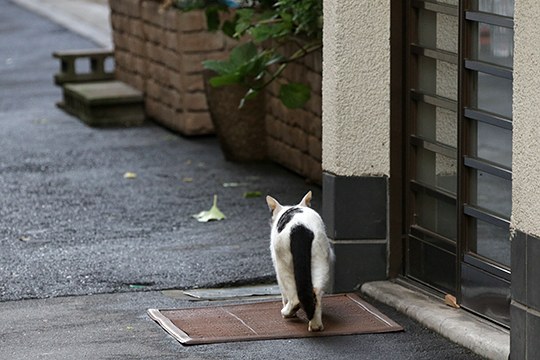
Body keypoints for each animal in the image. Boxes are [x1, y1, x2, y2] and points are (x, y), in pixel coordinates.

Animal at [266, 191, 334, 332]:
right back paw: (316, 325)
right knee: (315, 292)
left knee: (294, 297)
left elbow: (284, 294)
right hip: (321, 262)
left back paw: (287, 312)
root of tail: (300, 227)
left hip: (283, 265)